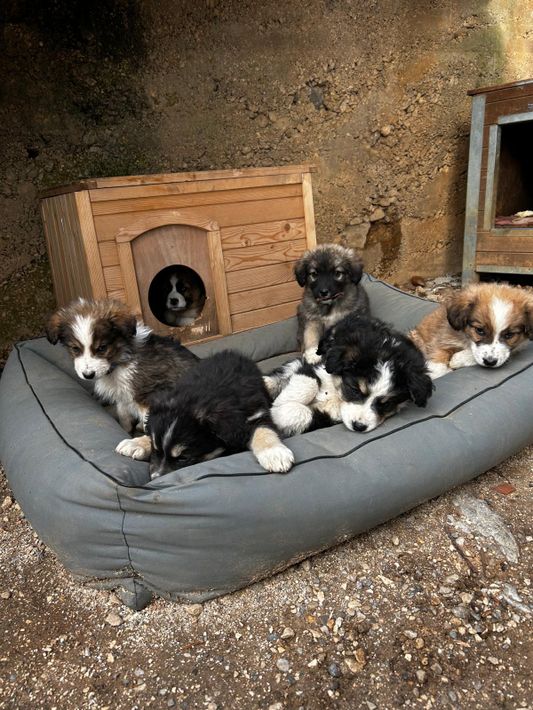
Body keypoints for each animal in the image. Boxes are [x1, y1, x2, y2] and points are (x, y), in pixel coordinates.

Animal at [46, 298, 199, 460]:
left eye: (102, 348)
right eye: (75, 349)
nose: (88, 375)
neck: (119, 362)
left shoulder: (149, 395)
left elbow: (152, 428)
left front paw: (140, 444)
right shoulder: (122, 397)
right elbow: (123, 416)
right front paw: (126, 428)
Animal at [146, 350, 294, 477]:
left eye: (184, 458)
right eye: (156, 450)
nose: (155, 477)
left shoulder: (257, 412)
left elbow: (263, 431)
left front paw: (275, 454)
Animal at [266, 314, 433, 435]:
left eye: (386, 404)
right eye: (354, 389)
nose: (359, 426)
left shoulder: (327, 417)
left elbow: (304, 414)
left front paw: (277, 413)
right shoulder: (315, 368)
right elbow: (307, 384)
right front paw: (279, 403)